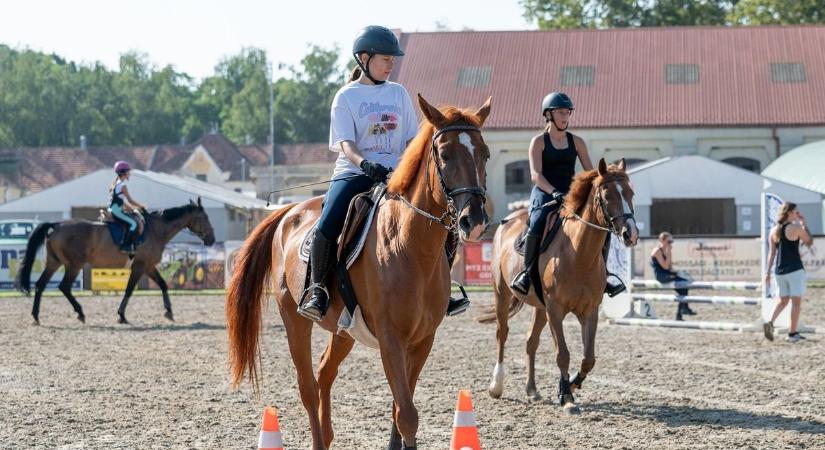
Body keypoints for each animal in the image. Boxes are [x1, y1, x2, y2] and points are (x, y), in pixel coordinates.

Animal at [17, 199, 216, 326]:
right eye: (205, 217)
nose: (212, 239)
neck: (155, 230)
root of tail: (56, 225)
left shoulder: (149, 266)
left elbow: (163, 284)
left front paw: (169, 311)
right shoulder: (140, 266)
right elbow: (129, 289)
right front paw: (121, 315)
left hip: (54, 263)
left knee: (40, 285)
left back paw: (36, 316)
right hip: (74, 265)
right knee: (64, 286)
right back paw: (80, 313)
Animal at [225, 96, 490, 450]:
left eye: (485, 153)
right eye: (445, 155)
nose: (474, 221)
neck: (409, 245)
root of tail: (289, 212)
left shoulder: (422, 340)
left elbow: (399, 409)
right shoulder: (391, 339)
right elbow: (407, 414)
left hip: (343, 330)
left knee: (324, 373)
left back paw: (327, 435)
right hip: (294, 319)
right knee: (307, 386)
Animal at [476, 160, 636, 414]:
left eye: (630, 193)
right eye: (607, 195)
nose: (631, 234)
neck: (579, 254)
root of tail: (507, 220)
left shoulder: (589, 311)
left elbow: (589, 358)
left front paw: (571, 385)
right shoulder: (556, 309)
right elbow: (563, 354)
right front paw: (567, 397)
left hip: (540, 308)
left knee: (531, 342)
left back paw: (532, 390)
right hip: (502, 294)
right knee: (502, 334)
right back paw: (496, 386)